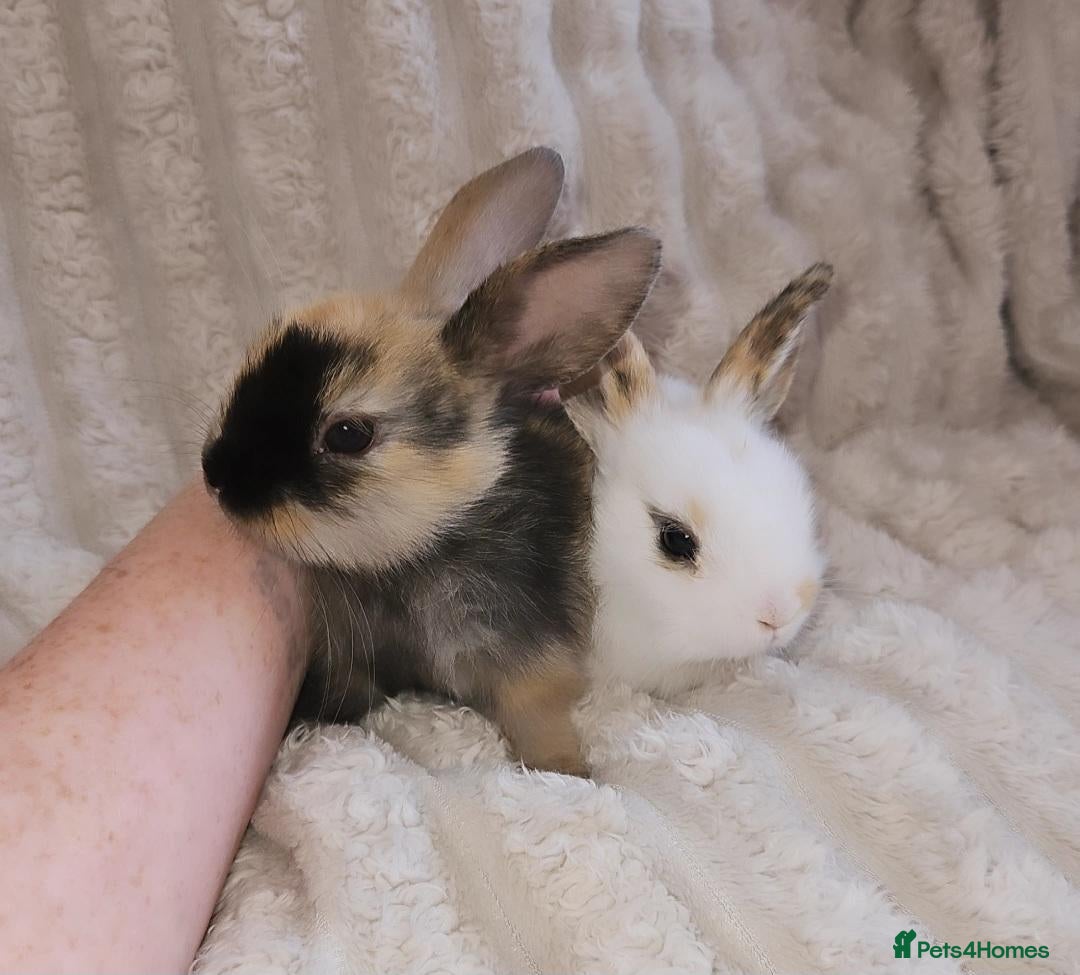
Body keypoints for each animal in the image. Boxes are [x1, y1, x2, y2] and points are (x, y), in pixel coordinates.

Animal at [200, 147, 662, 774]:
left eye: (348, 435)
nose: (217, 476)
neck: (413, 557)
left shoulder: (528, 667)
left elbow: (539, 720)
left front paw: (565, 772)